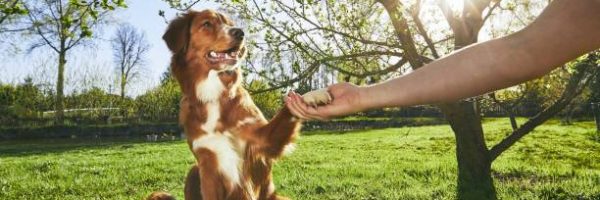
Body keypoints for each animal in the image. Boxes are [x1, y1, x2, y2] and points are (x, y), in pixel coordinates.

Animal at [148, 9, 330, 200]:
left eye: (229, 24)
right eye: (207, 24)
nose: (240, 33)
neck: (214, 95)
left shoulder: (263, 140)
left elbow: (287, 109)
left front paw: (312, 95)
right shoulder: (207, 164)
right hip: (194, 170)